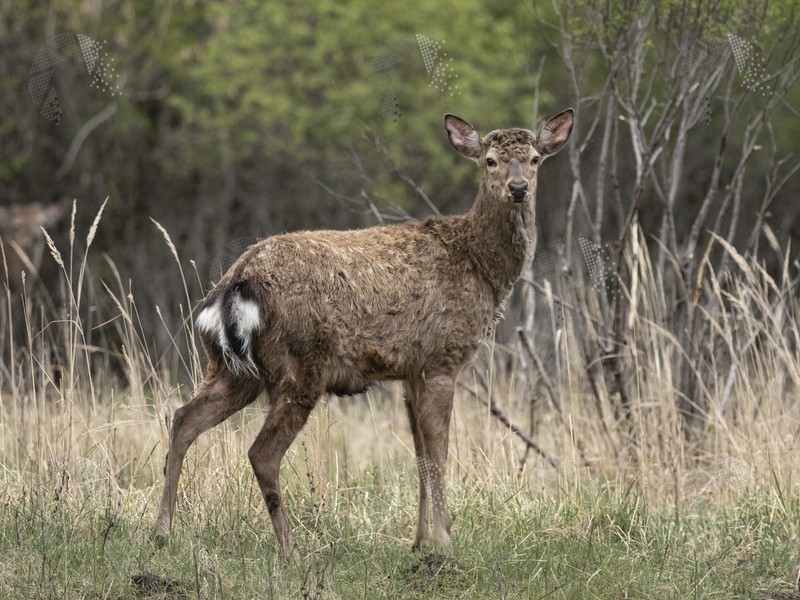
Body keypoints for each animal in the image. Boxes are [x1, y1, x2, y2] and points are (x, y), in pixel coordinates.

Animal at [152, 109, 576, 556]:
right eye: (490, 161)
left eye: (534, 159)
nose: (518, 188)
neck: (480, 266)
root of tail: (236, 284)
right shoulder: (441, 359)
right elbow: (438, 454)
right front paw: (444, 541)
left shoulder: (410, 372)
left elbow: (420, 455)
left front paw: (420, 541)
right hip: (301, 365)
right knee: (261, 452)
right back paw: (291, 549)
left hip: (231, 370)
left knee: (183, 420)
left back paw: (162, 531)